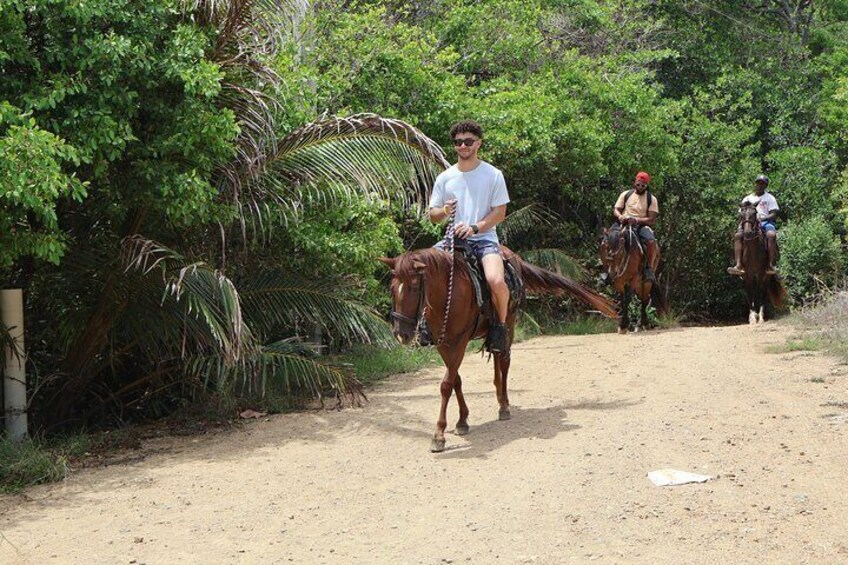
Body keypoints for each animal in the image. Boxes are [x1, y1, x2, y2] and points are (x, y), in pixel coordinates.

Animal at [380, 245, 616, 452]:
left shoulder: (459, 341)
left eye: (413, 286)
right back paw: (498, 395)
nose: (401, 334)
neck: (447, 294)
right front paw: (463, 420)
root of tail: (513, 257)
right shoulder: (443, 343)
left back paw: (504, 406)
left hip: (508, 323)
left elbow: (446, 385)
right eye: (392, 289)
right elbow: (456, 380)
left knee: (504, 361)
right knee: (496, 357)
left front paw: (439, 435)